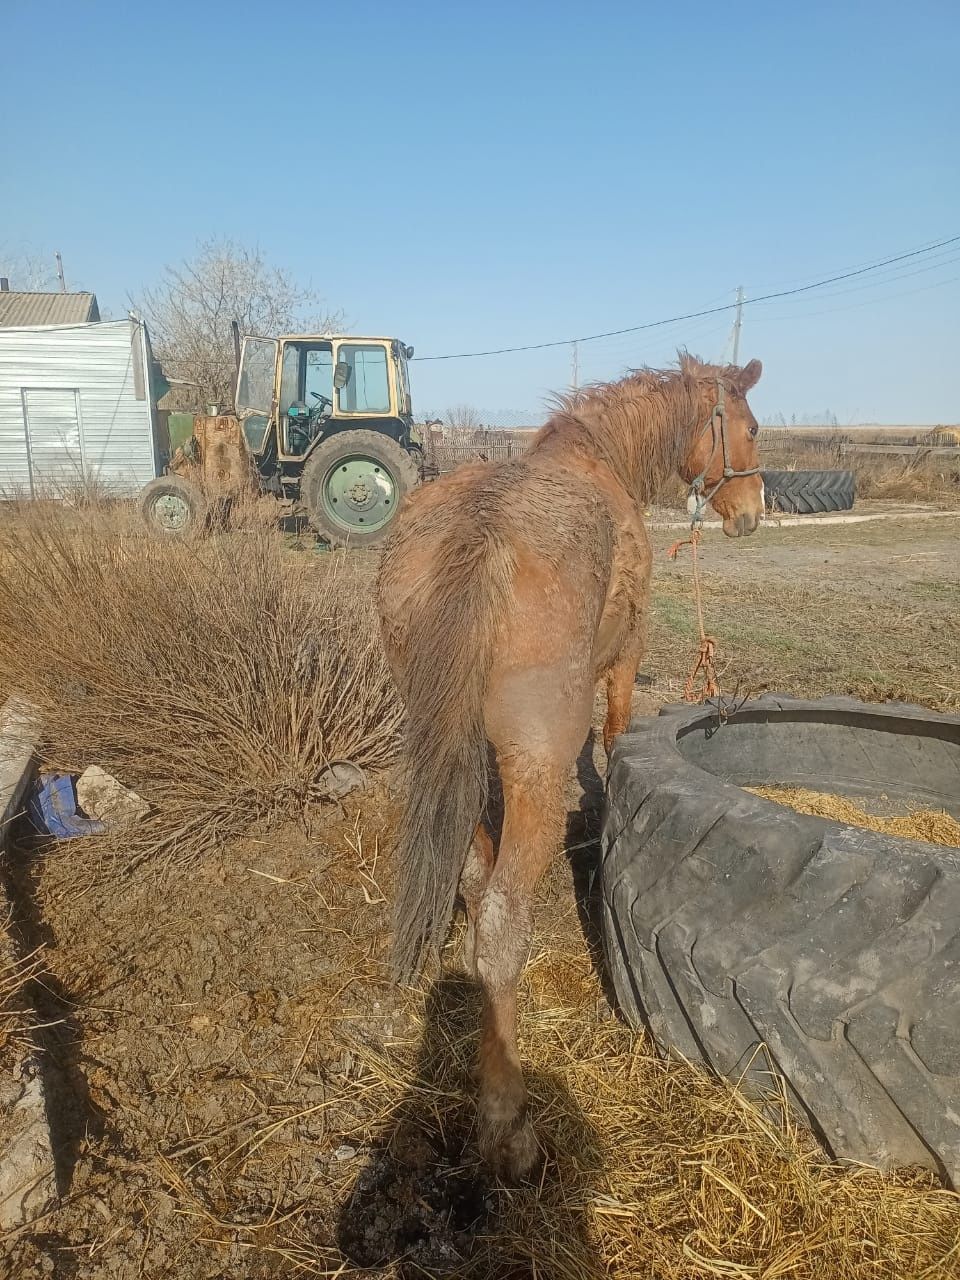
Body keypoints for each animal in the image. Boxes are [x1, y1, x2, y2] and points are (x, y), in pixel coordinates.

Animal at [378, 355, 762, 1172]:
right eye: (749, 426)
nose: (750, 512)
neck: (598, 456)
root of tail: (481, 535)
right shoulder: (626, 657)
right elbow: (614, 738)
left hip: (452, 749)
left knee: (473, 877)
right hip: (536, 765)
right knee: (501, 921)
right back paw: (506, 1122)